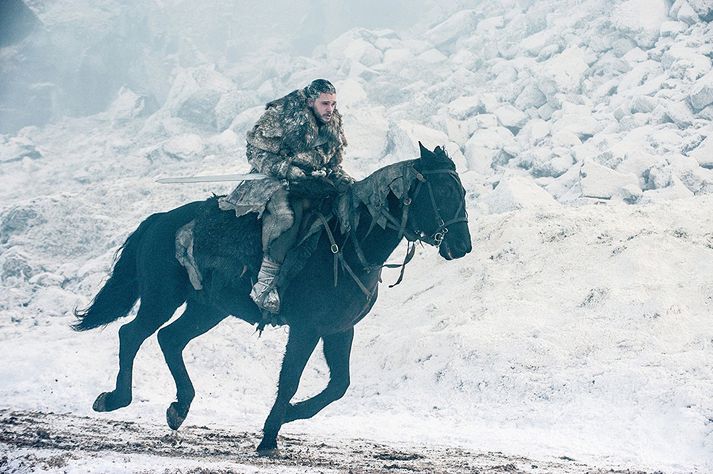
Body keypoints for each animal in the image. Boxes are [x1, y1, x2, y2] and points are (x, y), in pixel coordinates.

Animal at [73, 143, 472, 452]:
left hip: (207, 309)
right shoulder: (307, 328)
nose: (462, 246)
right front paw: (268, 437)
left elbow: (339, 385)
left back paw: (179, 407)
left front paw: (289, 415)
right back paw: (114, 398)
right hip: (162, 299)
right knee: (133, 334)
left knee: (169, 338)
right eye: (442, 192)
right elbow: (291, 378)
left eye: (463, 192)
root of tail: (158, 221)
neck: (348, 244)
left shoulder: (339, 330)